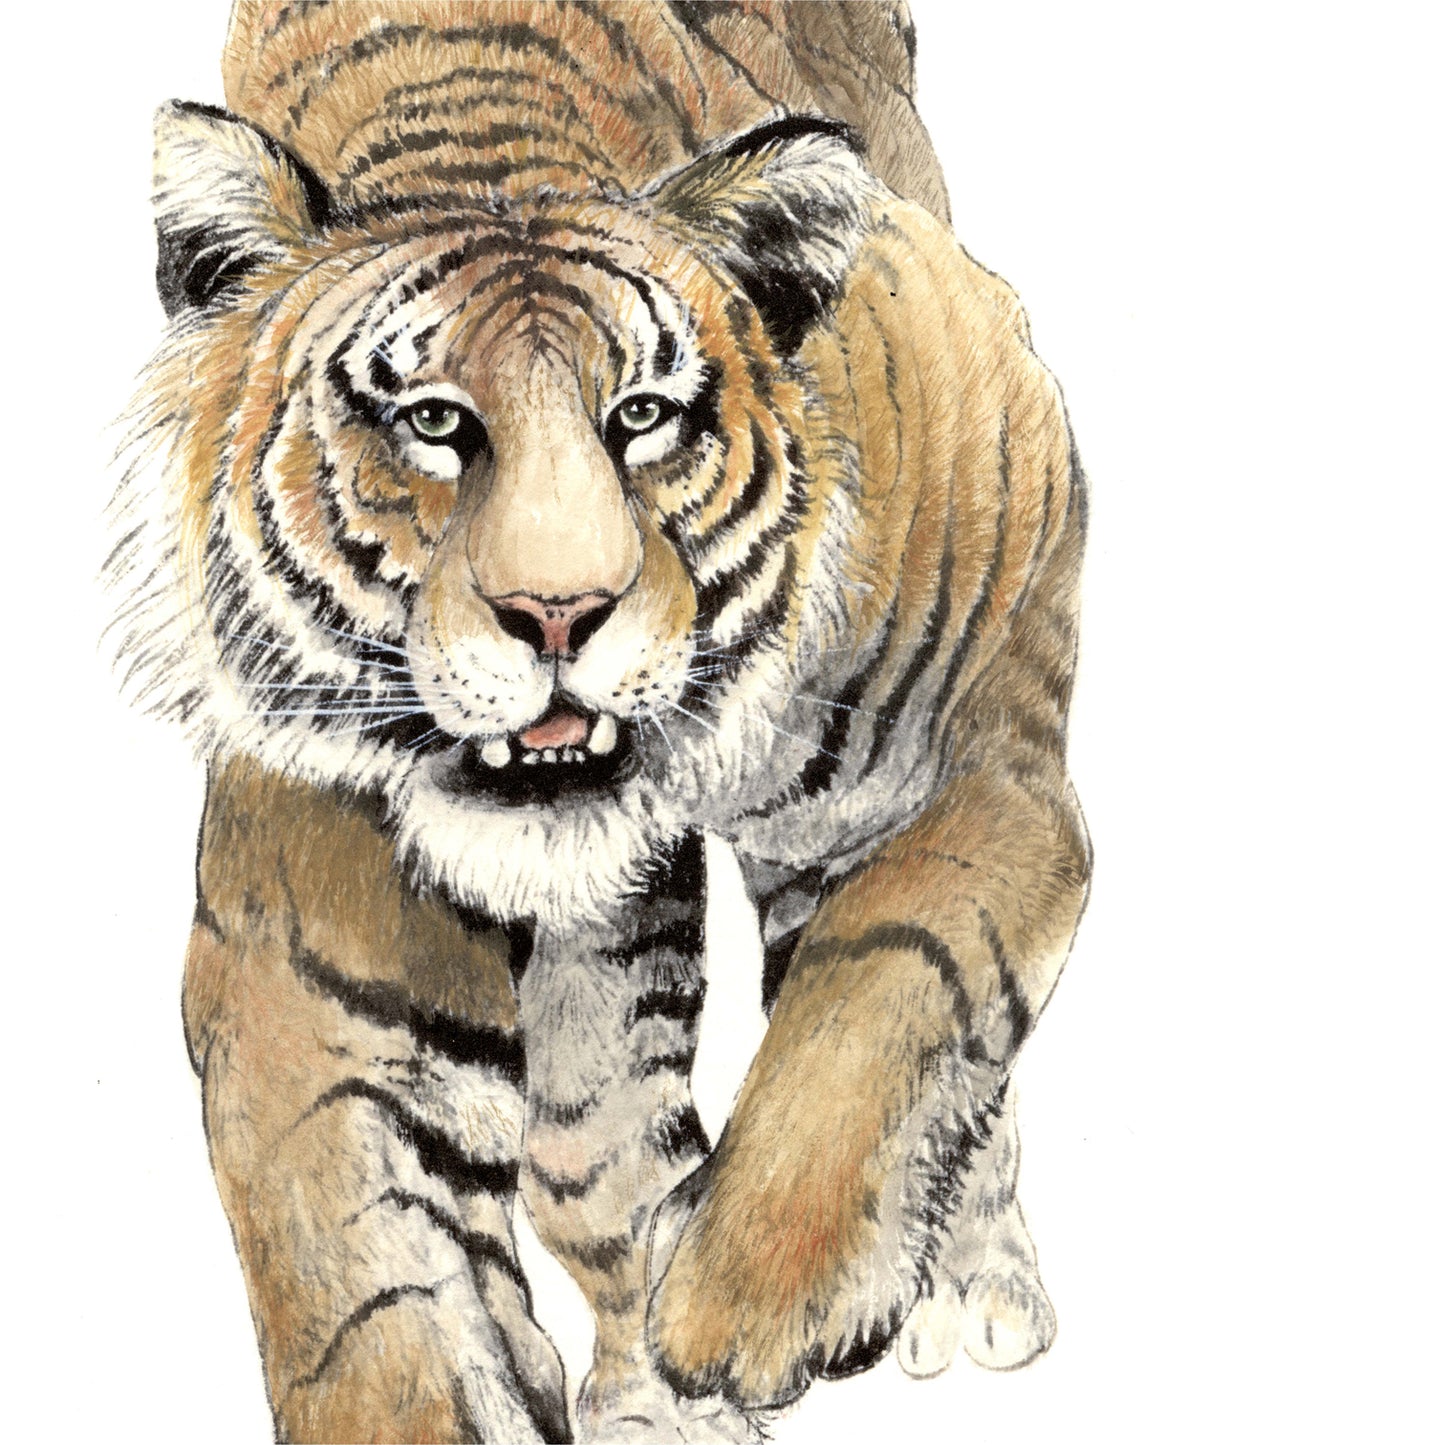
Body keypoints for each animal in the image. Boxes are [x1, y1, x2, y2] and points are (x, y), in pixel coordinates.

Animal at [106, 1, 1091, 1440]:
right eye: (433, 423)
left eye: (641, 417)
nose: (558, 613)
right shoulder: (311, 958)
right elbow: (371, 1282)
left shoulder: (973, 770)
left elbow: (887, 984)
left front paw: (747, 1299)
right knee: (592, 1133)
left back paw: (949, 1287)